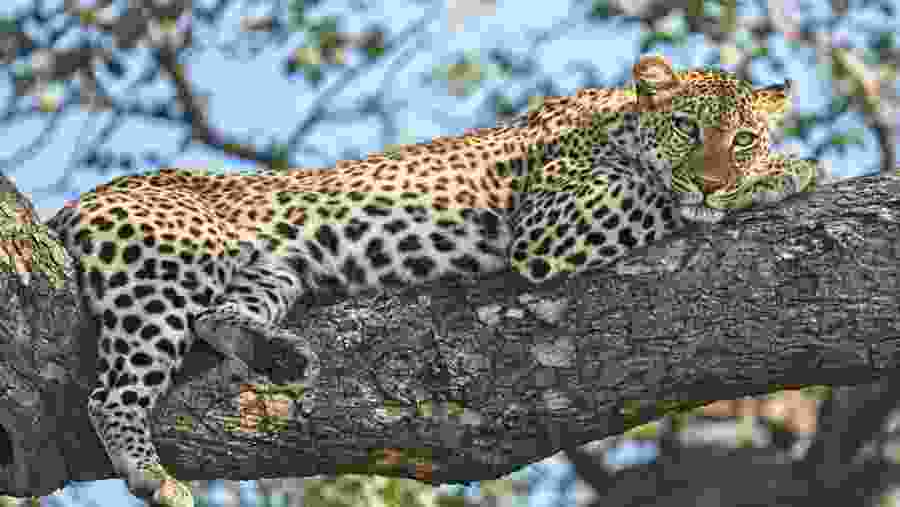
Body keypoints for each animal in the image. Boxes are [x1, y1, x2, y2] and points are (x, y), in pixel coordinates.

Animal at [44, 54, 822, 507]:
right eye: (688, 127)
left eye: (742, 137)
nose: (716, 177)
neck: (618, 120)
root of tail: (78, 201)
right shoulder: (552, 222)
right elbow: (658, 198)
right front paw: (786, 174)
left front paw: (765, 173)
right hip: (165, 269)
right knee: (110, 393)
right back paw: (152, 474)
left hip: (267, 267)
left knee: (217, 317)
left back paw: (278, 355)